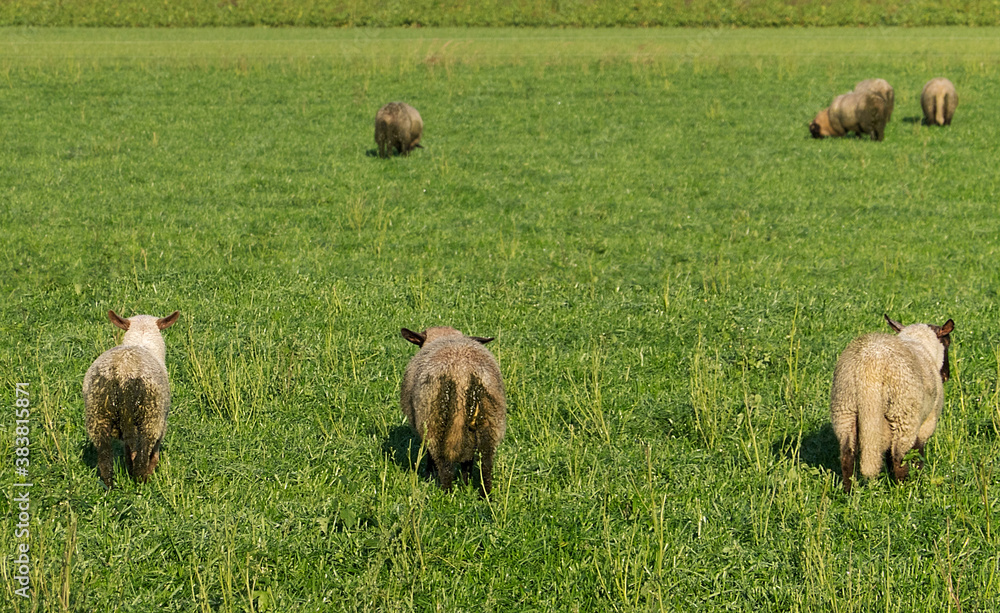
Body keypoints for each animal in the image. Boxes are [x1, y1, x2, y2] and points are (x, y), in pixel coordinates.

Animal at [84, 310, 179, 489]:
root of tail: (122, 373)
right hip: (150, 415)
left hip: (97, 413)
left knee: (105, 457)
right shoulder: (161, 422)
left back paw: (109, 486)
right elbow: (153, 452)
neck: (142, 341)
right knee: (142, 454)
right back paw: (141, 482)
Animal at [400, 326, 506, 497]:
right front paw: (466, 482)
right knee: (485, 464)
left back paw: (446, 494)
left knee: (444, 465)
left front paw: (429, 474)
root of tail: (463, 373)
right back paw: (484, 495)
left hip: (435, 421)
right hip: (490, 422)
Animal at [830, 314, 954, 493]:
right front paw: (919, 477)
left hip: (844, 408)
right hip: (903, 412)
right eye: (948, 343)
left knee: (847, 454)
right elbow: (918, 452)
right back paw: (903, 490)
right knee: (899, 457)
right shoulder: (927, 421)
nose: (946, 376)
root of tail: (869, 367)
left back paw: (850, 492)